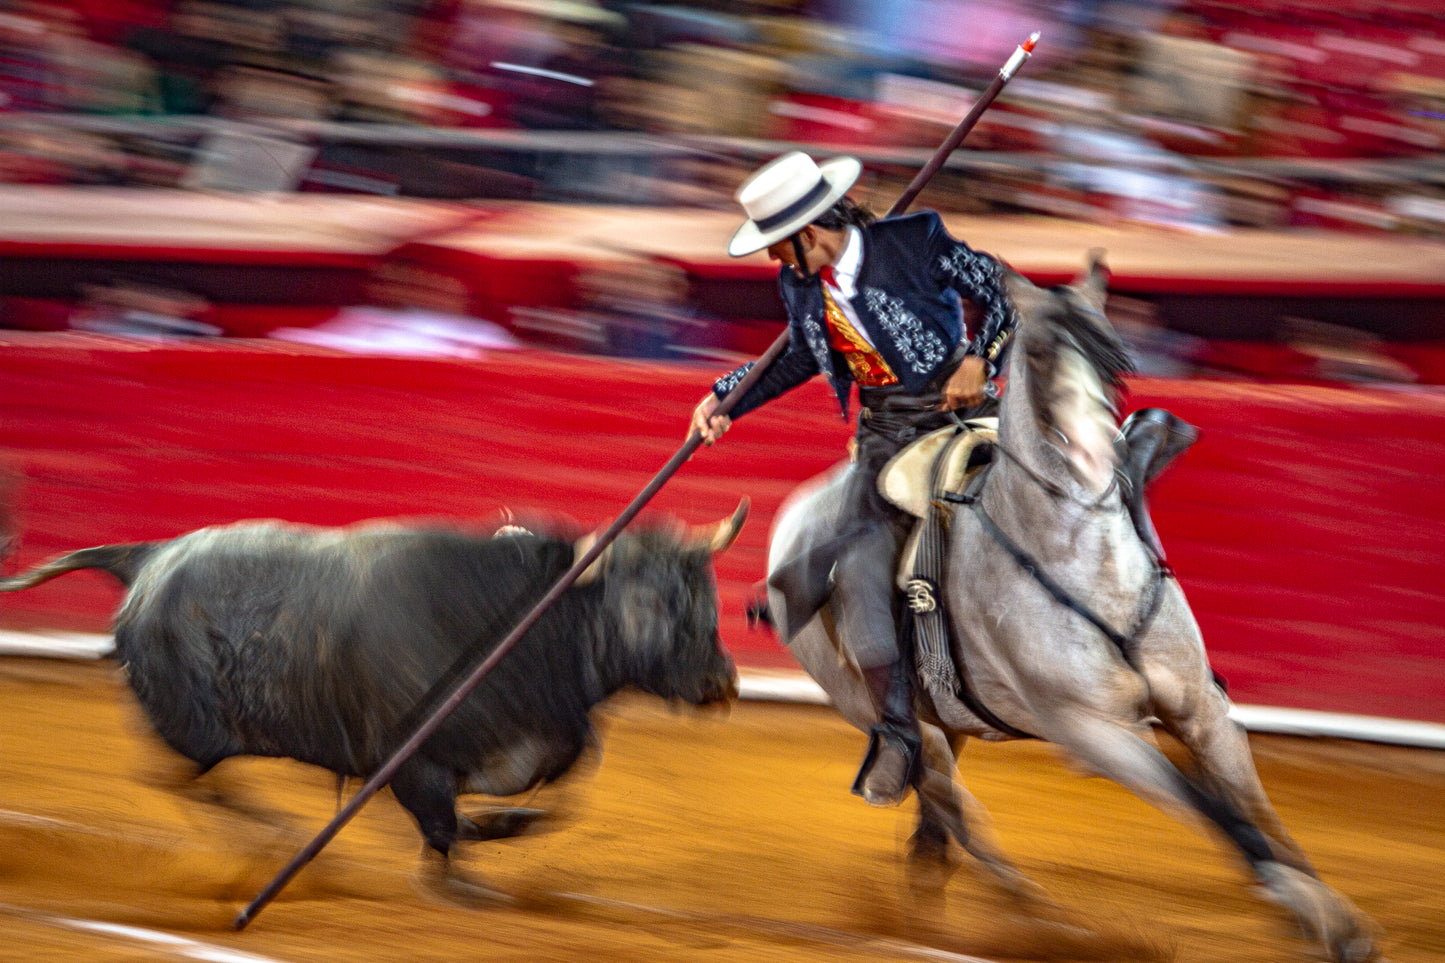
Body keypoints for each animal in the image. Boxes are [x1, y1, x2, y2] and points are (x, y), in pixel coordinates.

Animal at [767, 253, 1379, 963]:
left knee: (943, 821)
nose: (1097, 457)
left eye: (1114, 355)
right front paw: (1318, 918)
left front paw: (1329, 918)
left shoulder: (1203, 712)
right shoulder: (1100, 731)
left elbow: (1260, 820)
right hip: (876, 709)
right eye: (1036, 355)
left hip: (945, 713)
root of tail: (795, 517)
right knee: (953, 806)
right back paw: (1050, 924)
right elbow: (1222, 817)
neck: (1092, 573)